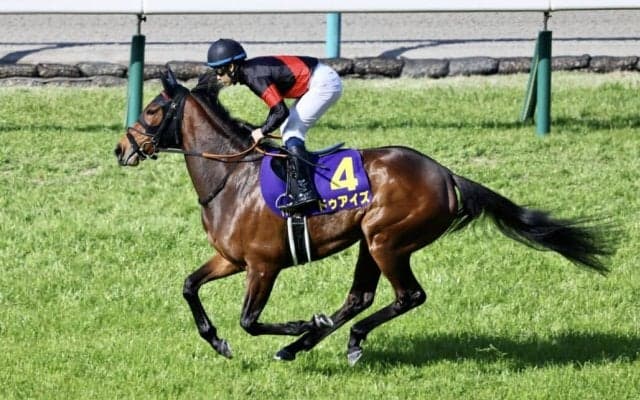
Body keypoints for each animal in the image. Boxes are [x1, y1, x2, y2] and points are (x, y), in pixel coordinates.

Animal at [114, 69, 613, 365]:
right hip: (369, 242)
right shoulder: (231, 259)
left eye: (153, 110)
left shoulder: (262, 265)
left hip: (386, 239)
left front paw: (299, 324)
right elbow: (189, 286)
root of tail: (446, 175)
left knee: (408, 295)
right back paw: (308, 344)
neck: (232, 178)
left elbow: (250, 320)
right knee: (361, 297)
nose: (121, 148)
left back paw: (330, 339)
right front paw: (217, 341)